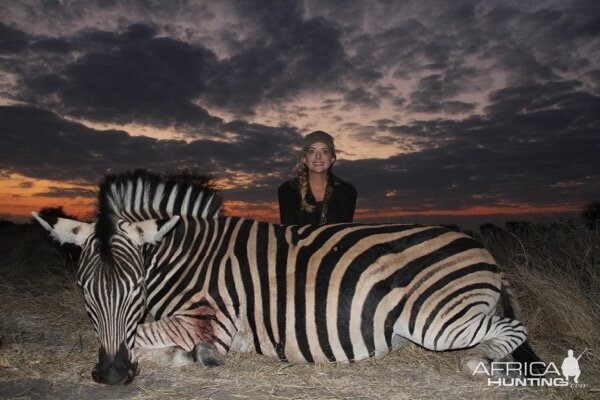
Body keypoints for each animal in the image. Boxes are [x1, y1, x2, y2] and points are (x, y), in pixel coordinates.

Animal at [31, 169, 540, 384]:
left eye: (135, 286)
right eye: (84, 290)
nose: (113, 375)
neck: (184, 254)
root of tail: (481, 248)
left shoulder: (213, 321)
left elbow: (146, 336)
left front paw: (187, 356)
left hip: (437, 321)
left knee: (510, 329)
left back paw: (482, 363)